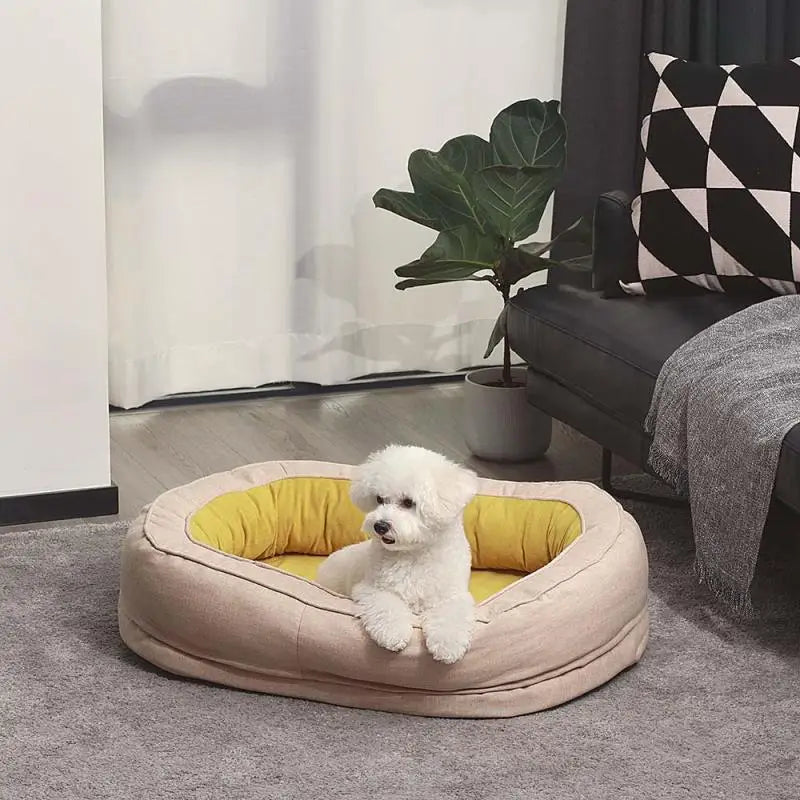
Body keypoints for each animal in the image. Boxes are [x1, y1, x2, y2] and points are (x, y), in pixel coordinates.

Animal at [316, 444, 478, 664]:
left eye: (409, 502)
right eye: (379, 499)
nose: (380, 526)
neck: (412, 555)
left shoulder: (452, 595)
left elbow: (451, 616)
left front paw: (448, 646)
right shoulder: (372, 589)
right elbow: (386, 607)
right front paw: (394, 634)